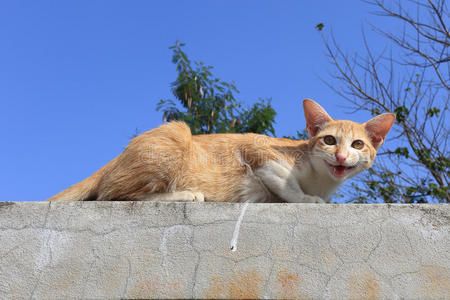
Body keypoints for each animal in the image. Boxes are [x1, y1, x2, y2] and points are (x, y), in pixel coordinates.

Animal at [47, 99, 396, 203]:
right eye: (329, 140)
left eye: (357, 144)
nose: (340, 157)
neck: (321, 180)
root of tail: (115, 160)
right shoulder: (256, 147)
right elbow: (286, 183)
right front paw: (306, 199)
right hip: (176, 133)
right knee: (112, 195)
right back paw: (185, 194)